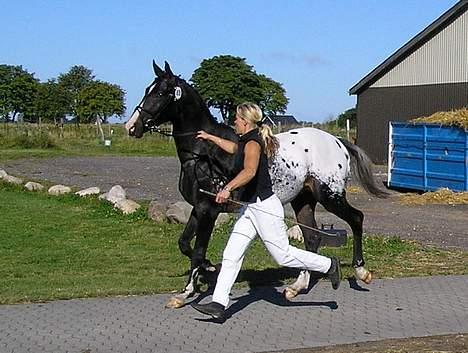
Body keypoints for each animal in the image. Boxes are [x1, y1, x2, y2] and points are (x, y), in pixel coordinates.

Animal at [125, 61, 388, 308]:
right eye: (147, 90)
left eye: (161, 92)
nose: (132, 126)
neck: (204, 155)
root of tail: (338, 142)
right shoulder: (198, 208)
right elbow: (184, 243)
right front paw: (202, 275)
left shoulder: (208, 210)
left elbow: (198, 251)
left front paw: (189, 288)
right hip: (303, 200)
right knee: (312, 238)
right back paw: (297, 286)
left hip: (330, 196)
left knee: (356, 219)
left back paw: (361, 271)